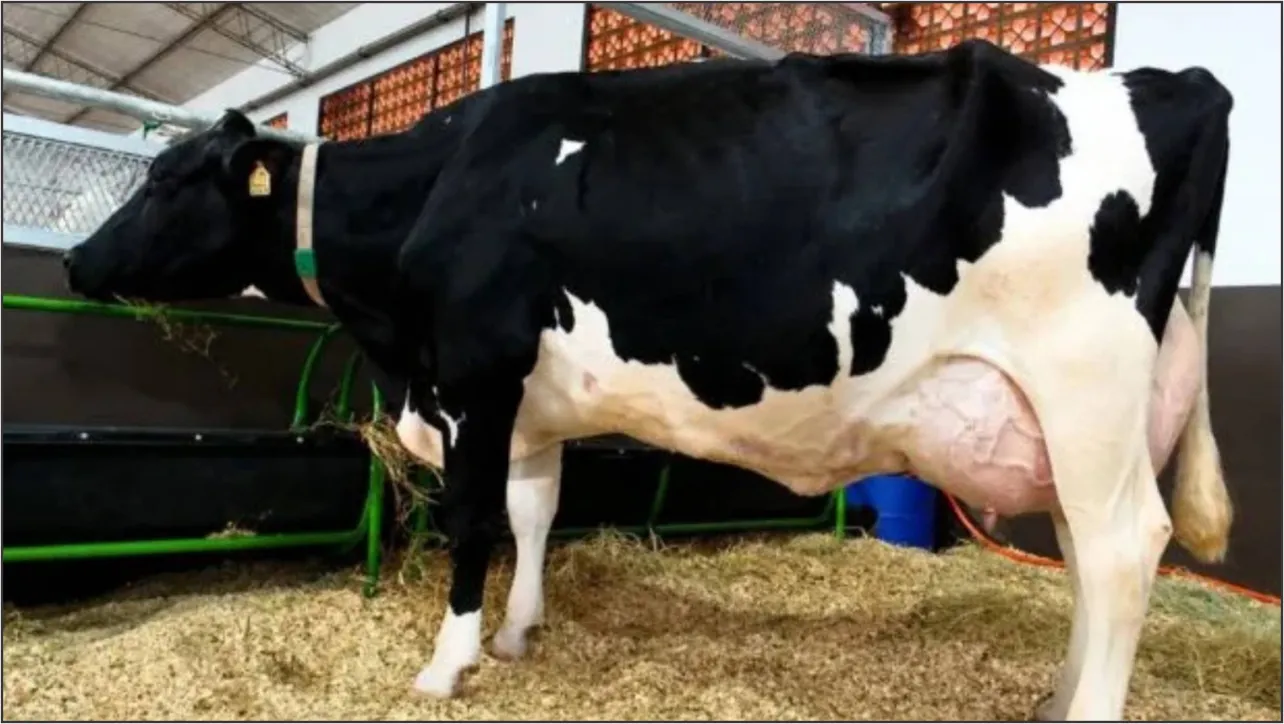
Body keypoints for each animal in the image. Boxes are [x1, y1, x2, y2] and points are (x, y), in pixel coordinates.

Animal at [62, 39, 1233, 720]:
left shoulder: (475, 374)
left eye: (162, 180)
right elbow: (536, 511)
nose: (73, 263)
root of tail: (1176, 81)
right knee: (1086, 555)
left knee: (1123, 550)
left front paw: (449, 663)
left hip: (1085, 386)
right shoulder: (529, 403)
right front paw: (521, 634)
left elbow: (474, 521)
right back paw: (1055, 699)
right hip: (1079, 419)